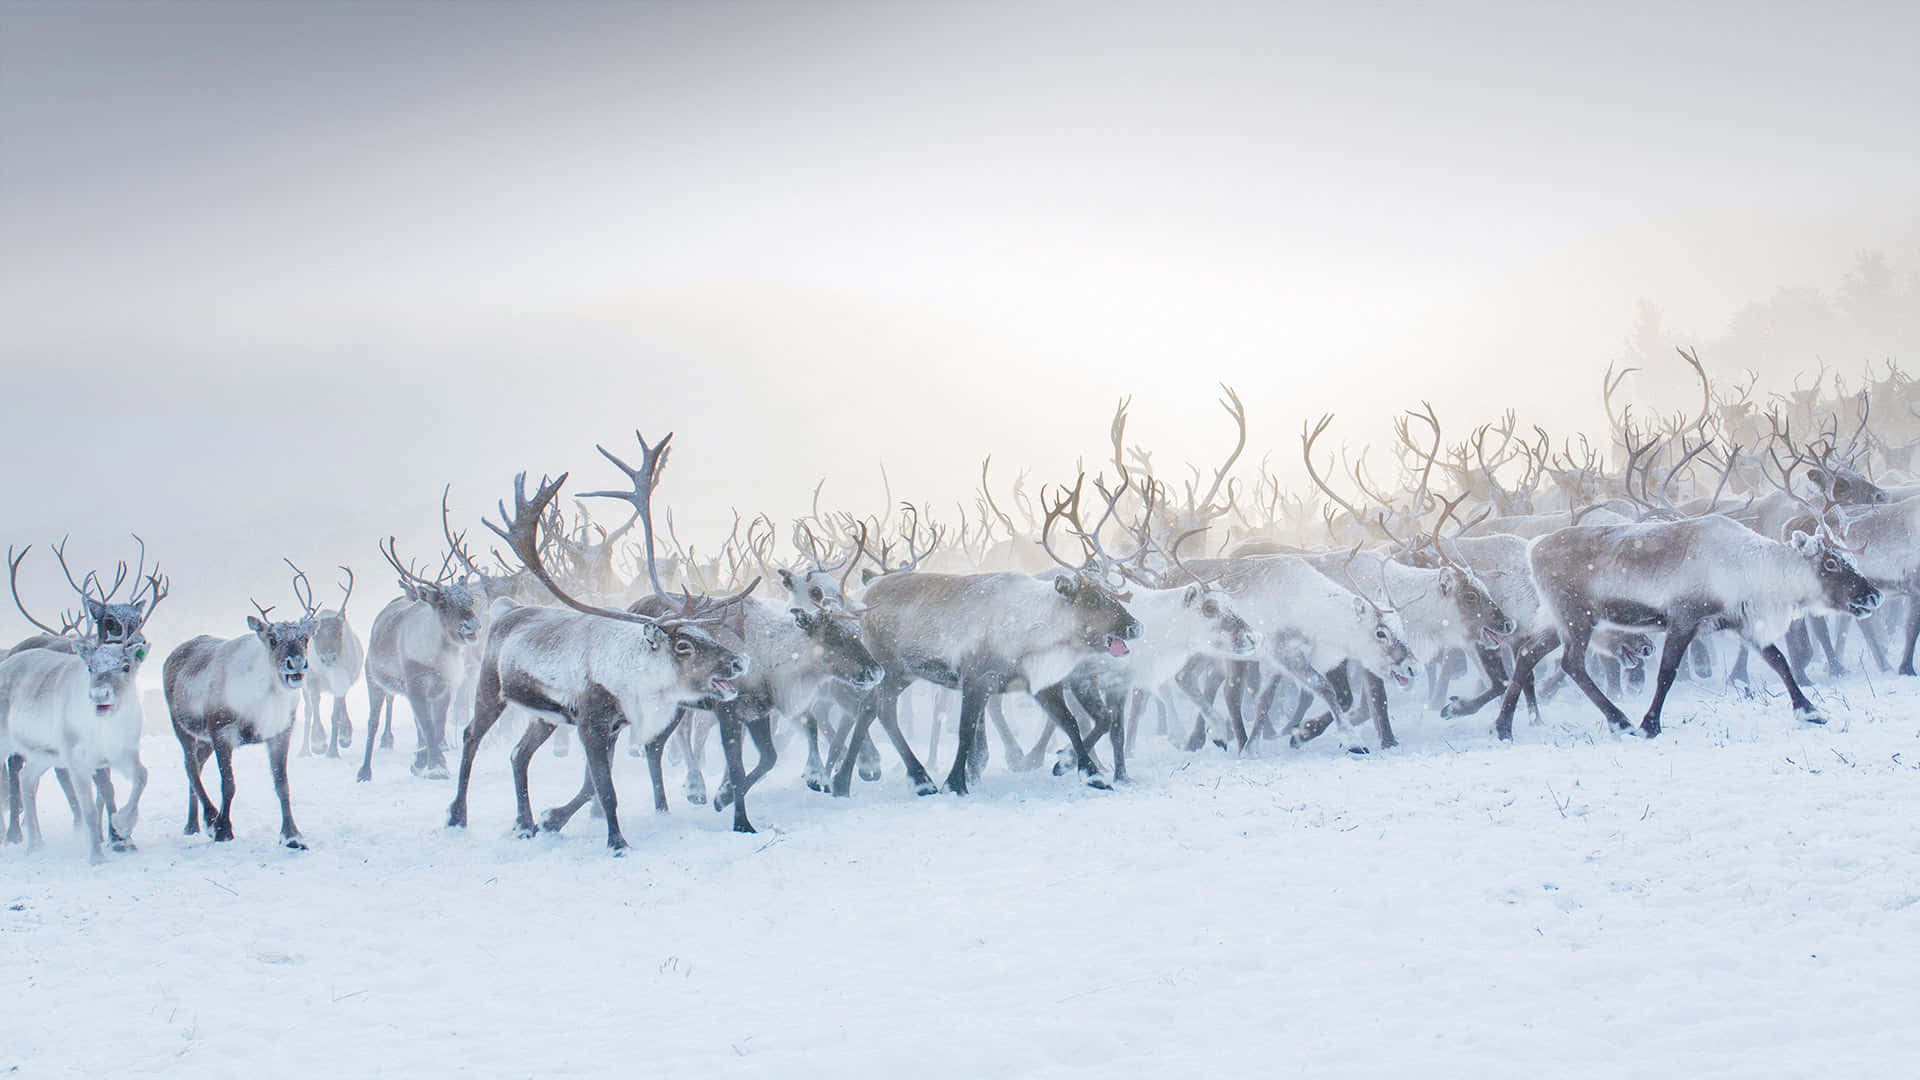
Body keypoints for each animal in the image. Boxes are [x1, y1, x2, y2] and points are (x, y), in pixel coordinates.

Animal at [163, 562, 320, 848]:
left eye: (305, 638)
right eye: (272, 639)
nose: (296, 664)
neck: (263, 702)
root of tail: (173, 654)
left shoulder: (280, 732)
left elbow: (282, 784)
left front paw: (292, 835)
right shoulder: (221, 731)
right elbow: (229, 784)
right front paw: (222, 828)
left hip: (204, 740)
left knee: (196, 767)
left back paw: (192, 824)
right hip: (182, 725)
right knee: (190, 766)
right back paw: (209, 818)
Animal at [445, 470, 749, 850]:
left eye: (705, 633)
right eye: (683, 645)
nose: (737, 662)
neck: (634, 680)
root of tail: (505, 610)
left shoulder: (614, 727)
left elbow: (593, 784)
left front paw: (551, 818)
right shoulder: (591, 724)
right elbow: (605, 789)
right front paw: (617, 843)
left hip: (545, 716)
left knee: (518, 754)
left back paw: (525, 823)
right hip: (490, 689)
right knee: (471, 736)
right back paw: (457, 815)